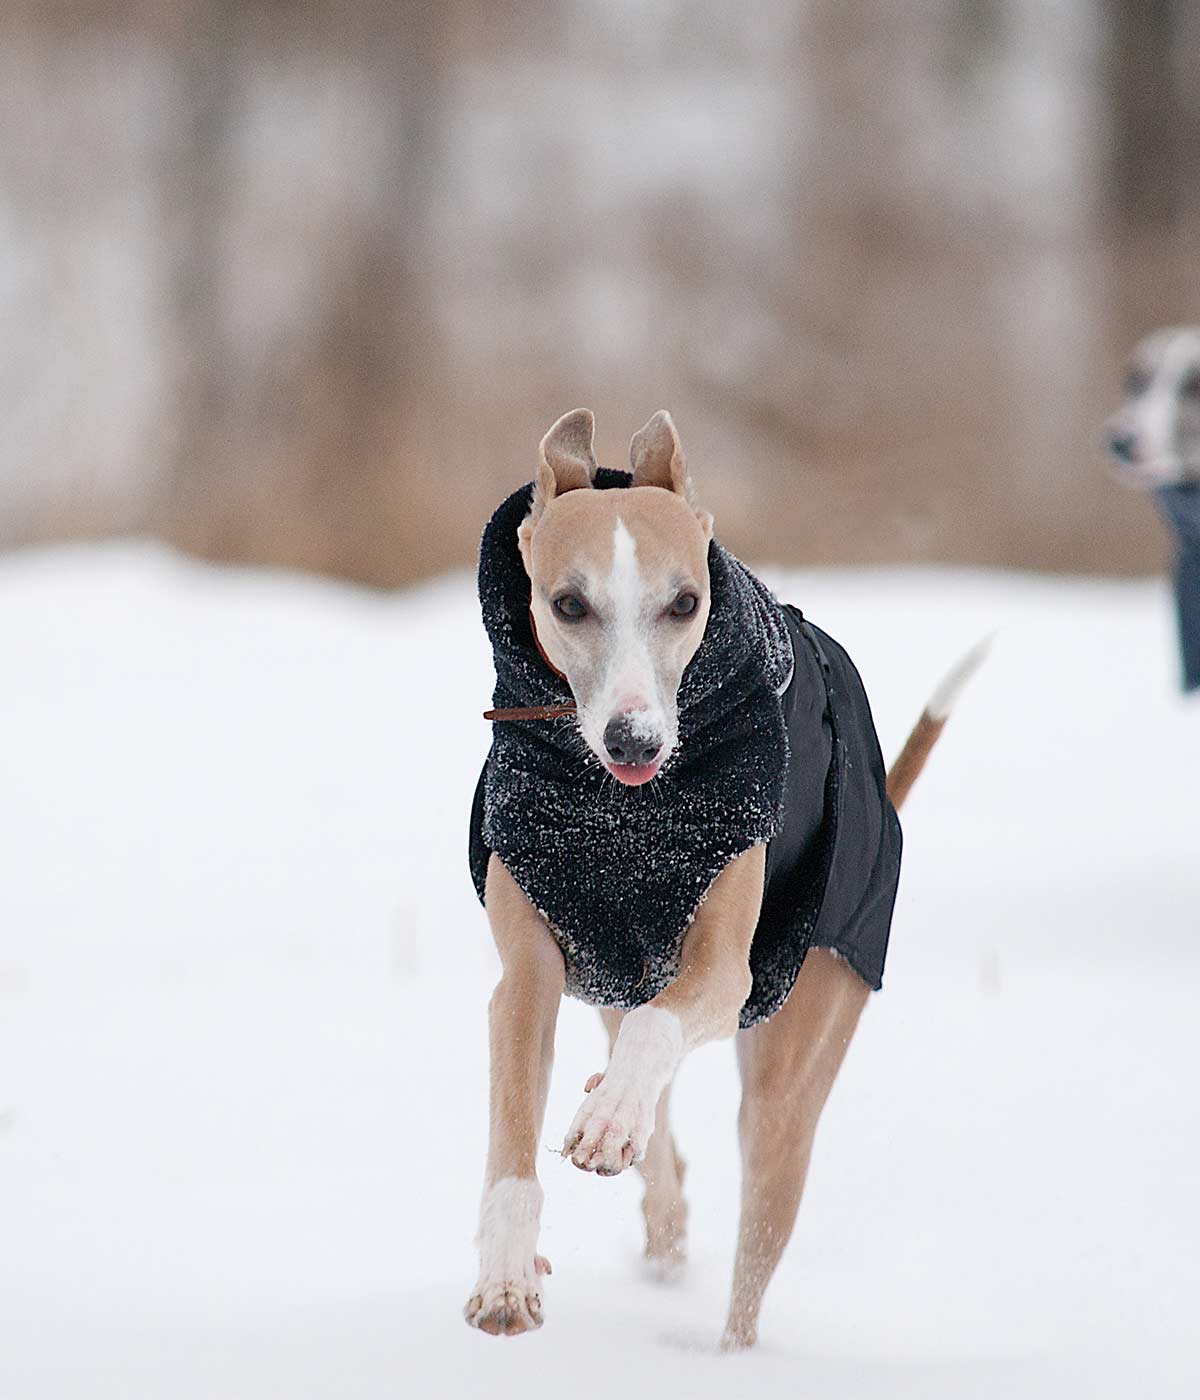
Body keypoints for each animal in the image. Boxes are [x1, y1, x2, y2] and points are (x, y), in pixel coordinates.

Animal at [464, 408, 980, 1349]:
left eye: (685, 603)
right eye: (568, 604)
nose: (635, 741)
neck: (625, 813)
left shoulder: (726, 965)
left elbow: (663, 1024)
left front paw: (608, 1118)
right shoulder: (528, 974)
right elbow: (514, 1133)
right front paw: (507, 1281)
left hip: (795, 1063)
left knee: (752, 1249)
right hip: (613, 990)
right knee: (662, 1153)